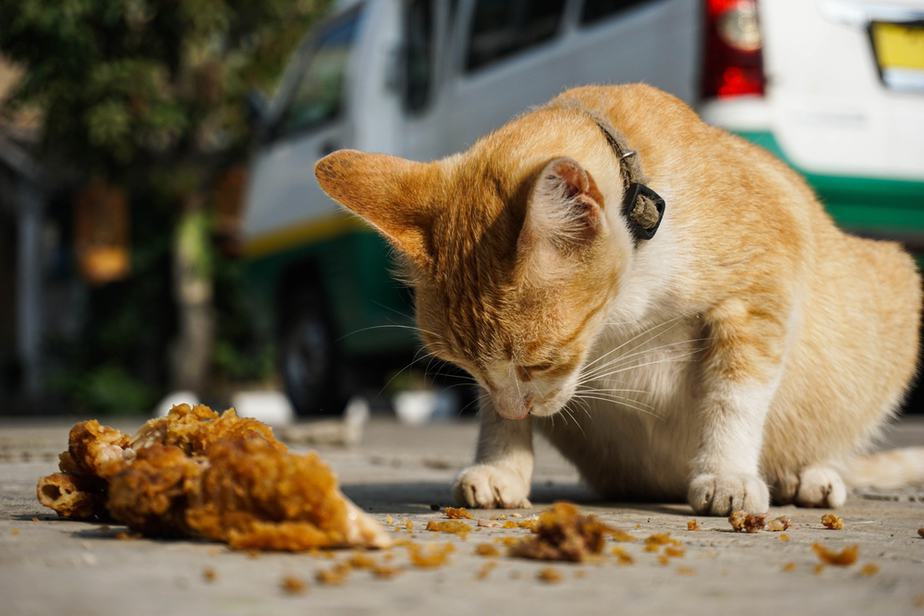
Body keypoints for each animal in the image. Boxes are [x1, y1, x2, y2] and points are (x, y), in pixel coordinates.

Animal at [314, 83, 920, 516]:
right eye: (465, 366)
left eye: (542, 362)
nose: (517, 407)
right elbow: (490, 412)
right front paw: (502, 465)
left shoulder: (759, 293)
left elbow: (735, 393)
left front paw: (726, 472)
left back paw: (807, 474)